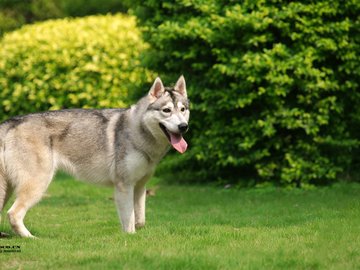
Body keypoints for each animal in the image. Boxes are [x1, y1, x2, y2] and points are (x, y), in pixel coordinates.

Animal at [0, 75, 190, 236]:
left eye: (183, 109)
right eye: (166, 110)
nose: (183, 126)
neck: (139, 133)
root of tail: (11, 122)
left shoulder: (139, 186)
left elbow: (140, 220)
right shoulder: (124, 186)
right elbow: (129, 223)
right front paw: (130, 237)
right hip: (37, 184)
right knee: (13, 214)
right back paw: (31, 238)